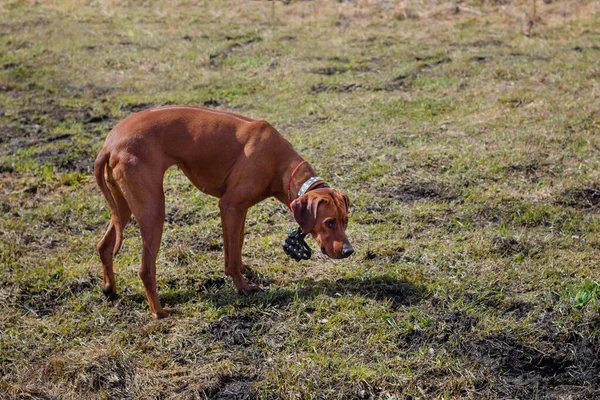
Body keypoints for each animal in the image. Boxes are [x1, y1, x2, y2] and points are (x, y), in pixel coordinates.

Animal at [95, 105, 354, 318]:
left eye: (345, 221)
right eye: (329, 222)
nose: (349, 251)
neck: (279, 163)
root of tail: (109, 144)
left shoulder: (239, 210)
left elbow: (236, 245)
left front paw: (243, 269)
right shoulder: (230, 206)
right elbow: (231, 258)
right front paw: (243, 286)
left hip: (124, 205)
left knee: (104, 245)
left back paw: (110, 289)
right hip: (154, 209)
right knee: (145, 269)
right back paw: (159, 312)